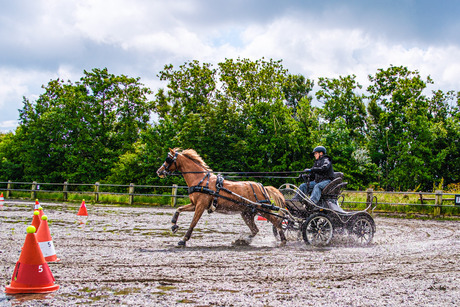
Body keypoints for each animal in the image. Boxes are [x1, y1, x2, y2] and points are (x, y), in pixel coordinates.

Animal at [155, 148, 286, 247]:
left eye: (168, 159)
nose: (159, 171)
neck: (201, 180)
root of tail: (262, 187)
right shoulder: (194, 204)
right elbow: (179, 209)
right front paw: (173, 225)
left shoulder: (200, 206)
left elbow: (193, 222)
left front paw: (183, 240)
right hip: (247, 213)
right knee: (255, 230)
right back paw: (241, 241)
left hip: (263, 210)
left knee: (277, 222)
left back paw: (283, 240)